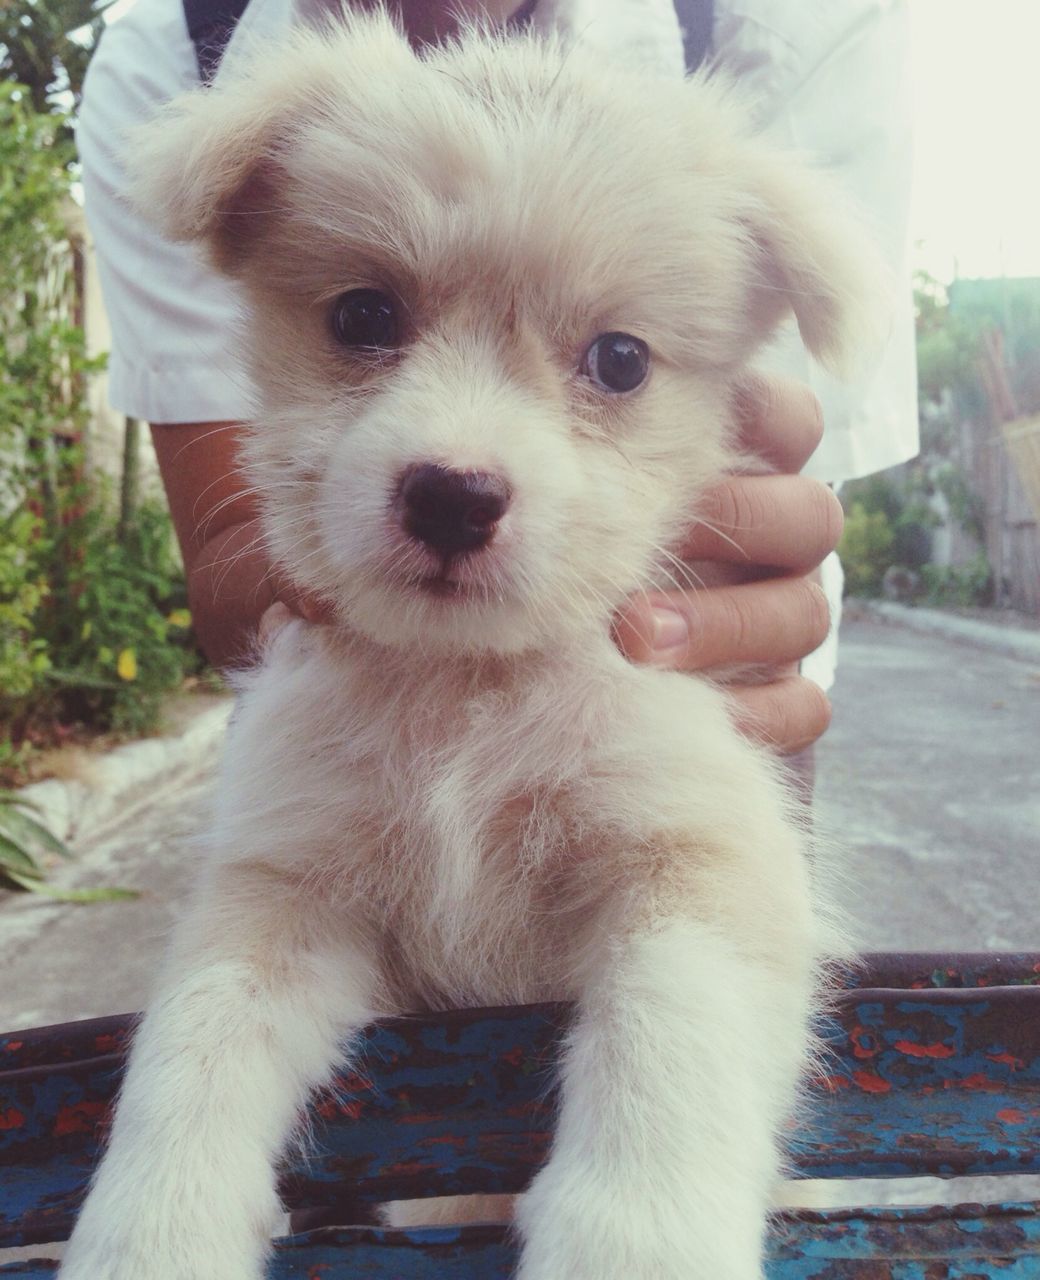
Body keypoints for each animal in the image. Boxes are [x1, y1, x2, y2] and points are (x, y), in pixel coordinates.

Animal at [60, 12, 881, 1280]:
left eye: (619, 360)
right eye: (361, 317)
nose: (453, 496)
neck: (467, 694)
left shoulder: (693, 864)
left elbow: (668, 1045)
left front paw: (634, 1237)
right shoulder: (289, 889)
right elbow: (192, 1049)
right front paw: (148, 1234)